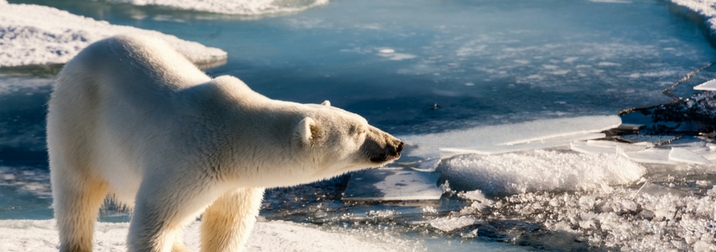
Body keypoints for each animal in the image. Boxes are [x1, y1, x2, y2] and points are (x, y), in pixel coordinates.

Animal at [46, 34, 402, 252]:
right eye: (358, 130)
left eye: (364, 122)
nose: (396, 144)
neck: (234, 138)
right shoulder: (186, 162)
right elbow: (154, 223)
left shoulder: (237, 184)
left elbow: (227, 226)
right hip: (78, 123)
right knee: (76, 195)